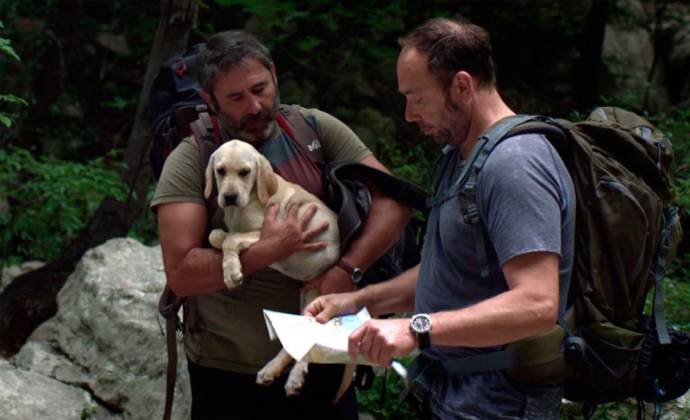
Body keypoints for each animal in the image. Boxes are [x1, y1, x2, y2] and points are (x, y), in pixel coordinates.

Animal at [202, 139, 346, 398]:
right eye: (220, 171)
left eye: (245, 172)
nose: (229, 197)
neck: (245, 205)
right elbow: (217, 235)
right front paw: (228, 257)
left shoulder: (268, 234)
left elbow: (231, 240)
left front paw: (231, 273)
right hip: (308, 299)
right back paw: (275, 373)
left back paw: (292, 376)